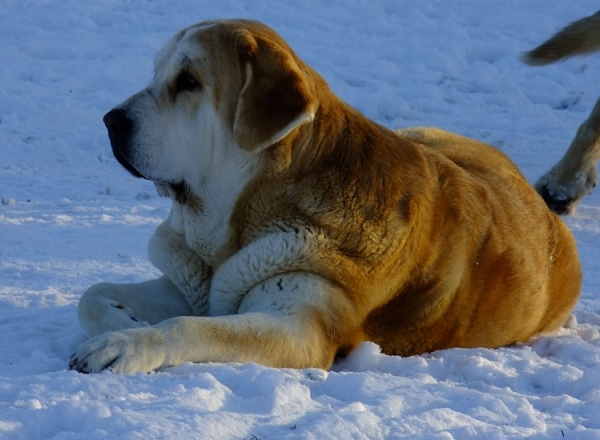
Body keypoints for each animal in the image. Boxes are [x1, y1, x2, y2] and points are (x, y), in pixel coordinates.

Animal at [69, 18, 580, 372]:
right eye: (157, 73)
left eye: (189, 82)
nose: (111, 121)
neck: (244, 215)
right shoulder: (189, 284)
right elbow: (93, 294)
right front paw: (123, 324)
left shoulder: (298, 325)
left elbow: (188, 327)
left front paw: (125, 345)